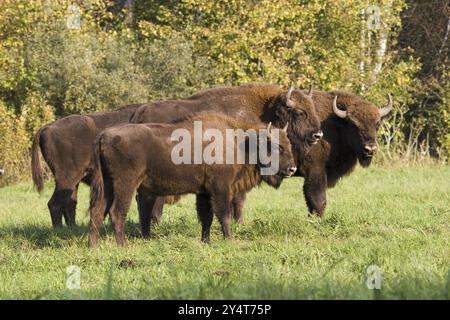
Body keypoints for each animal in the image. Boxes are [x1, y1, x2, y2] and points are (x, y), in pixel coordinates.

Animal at [89, 113, 298, 248]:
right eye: (277, 146)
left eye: (289, 144)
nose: (292, 169)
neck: (239, 142)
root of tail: (103, 136)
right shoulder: (220, 188)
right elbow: (224, 214)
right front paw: (229, 240)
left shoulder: (204, 192)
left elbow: (207, 217)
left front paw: (206, 241)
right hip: (126, 184)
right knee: (117, 212)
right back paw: (123, 245)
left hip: (107, 185)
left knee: (97, 211)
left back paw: (94, 246)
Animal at [128, 83, 322, 238]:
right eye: (299, 112)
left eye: (313, 108)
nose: (317, 135)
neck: (264, 111)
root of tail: (138, 114)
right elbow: (237, 201)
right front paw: (239, 224)